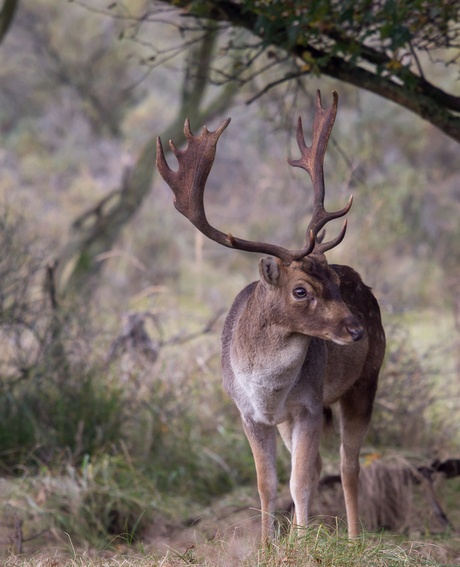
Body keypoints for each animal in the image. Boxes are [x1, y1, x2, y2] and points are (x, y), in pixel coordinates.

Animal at [156, 91, 386, 540]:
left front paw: (301, 543)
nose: (356, 329)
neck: (266, 389)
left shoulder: (309, 404)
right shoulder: (250, 414)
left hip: (366, 379)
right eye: (301, 290)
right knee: (321, 465)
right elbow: (268, 483)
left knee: (348, 464)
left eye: (335, 281)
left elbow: (298, 480)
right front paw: (267, 544)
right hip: (297, 417)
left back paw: (353, 538)